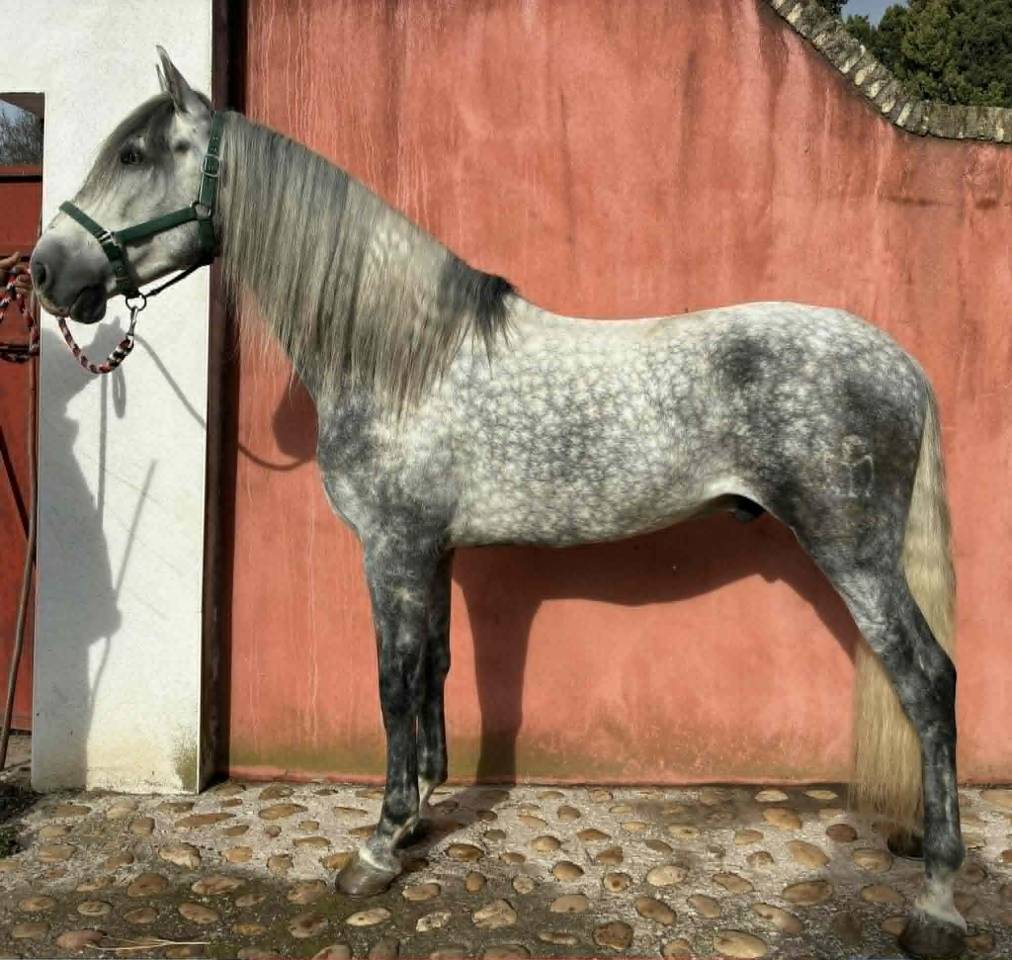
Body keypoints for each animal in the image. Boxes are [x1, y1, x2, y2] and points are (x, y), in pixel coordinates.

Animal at [30, 49, 966, 958]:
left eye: (134, 155)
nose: (44, 270)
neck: (402, 357)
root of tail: (899, 362)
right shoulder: (435, 552)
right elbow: (434, 674)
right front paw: (419, 814)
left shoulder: (393, 548)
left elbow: (393, 683)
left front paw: (377, 848)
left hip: (855, 553)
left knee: (929, 681)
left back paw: (939, 903)